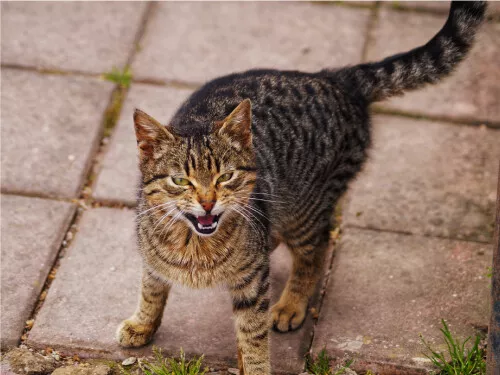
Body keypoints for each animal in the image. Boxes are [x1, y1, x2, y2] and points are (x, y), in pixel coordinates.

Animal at [116, 1, 484, 374]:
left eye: (225, 176)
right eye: (180, 180)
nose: (207, 202)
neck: (195, 246)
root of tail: (335, 78)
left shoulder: (253, 283)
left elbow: (253, 335)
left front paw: (256, 365)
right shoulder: (151, 257)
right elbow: (151, 289)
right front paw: (142, 324)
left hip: (306, 209)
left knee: (315, 250)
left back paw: (292, 303)